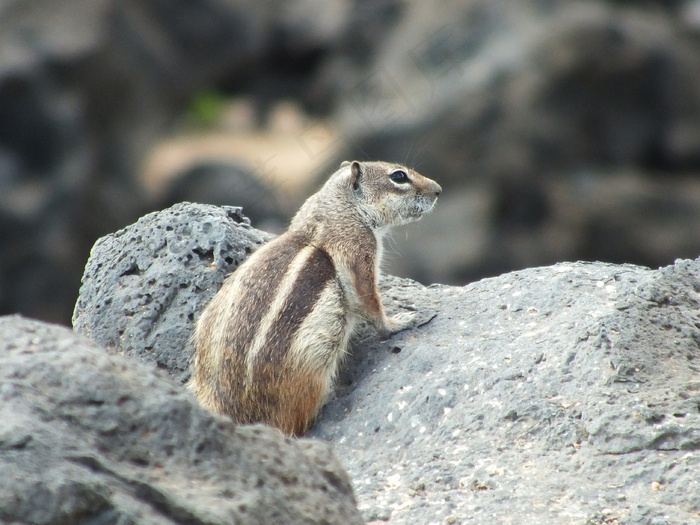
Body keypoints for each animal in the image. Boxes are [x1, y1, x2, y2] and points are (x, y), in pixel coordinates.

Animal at [189, 160, 440, 434]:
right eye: (399, 177)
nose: (438, 190)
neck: (336, 208)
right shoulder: (358, 250)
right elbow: (368, 301)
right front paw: (399, 322)